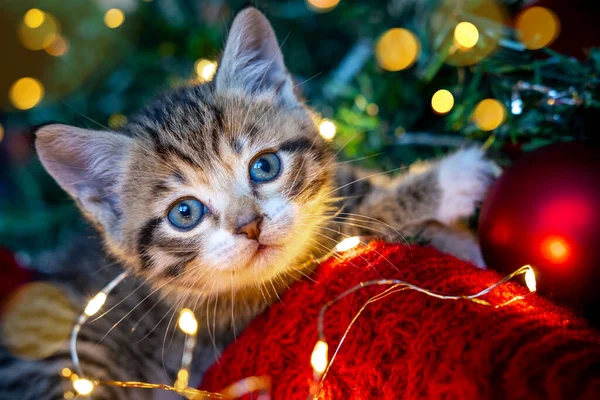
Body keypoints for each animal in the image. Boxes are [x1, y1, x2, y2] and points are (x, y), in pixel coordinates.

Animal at [1, 7, 496, 400]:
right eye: (185, 213)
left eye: (264, 167)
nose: (250, 226)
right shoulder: (236, 316)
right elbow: (349, 229)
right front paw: (450, 179)